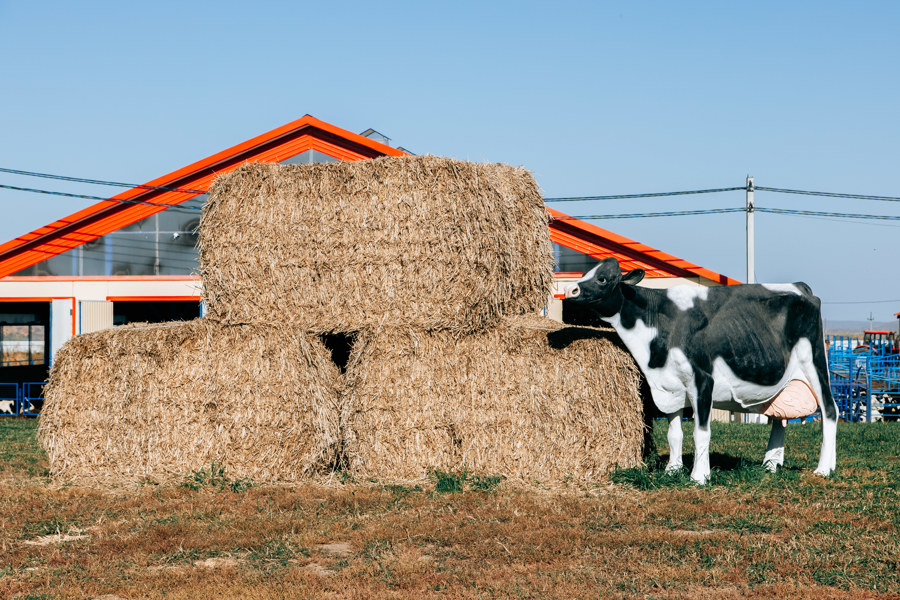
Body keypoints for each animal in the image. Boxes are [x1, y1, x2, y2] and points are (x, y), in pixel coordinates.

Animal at [568, 258, 840, 482]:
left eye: (603, 278)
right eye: (585, 273)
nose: (570, 289)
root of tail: (800, 286)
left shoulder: (702, 379)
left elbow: (701, 433)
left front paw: (699, 476)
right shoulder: (669, 386)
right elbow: (674, 434)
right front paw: (672, 470)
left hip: (815, 362)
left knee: (830, 410)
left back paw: (824, 469)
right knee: (779, 417)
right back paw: (771, 465)